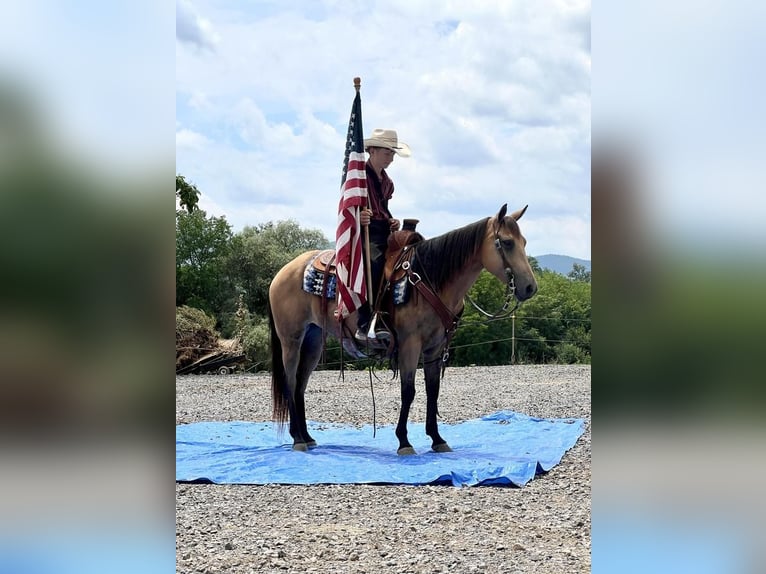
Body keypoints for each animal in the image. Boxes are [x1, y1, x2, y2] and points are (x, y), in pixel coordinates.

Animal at [270, 205, 540, 456]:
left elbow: (433, 391)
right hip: (291, 339)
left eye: (524, 242)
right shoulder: (411, 344)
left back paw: (306, 437)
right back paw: (298, 440)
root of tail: (283, 271)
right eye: (507, 242)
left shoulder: (435, 348)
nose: (530, 288)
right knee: (290, 381)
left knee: (300, 385)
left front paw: (437, 439)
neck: (431, 279)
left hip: (314, 340)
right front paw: (404, 442)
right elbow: (408, 391)